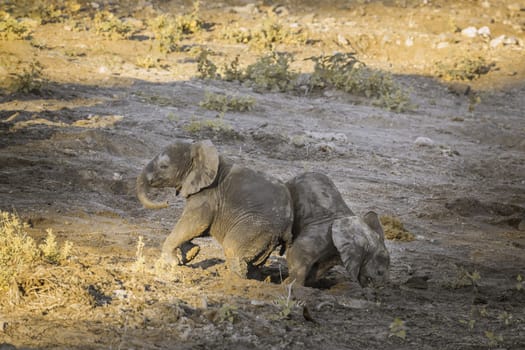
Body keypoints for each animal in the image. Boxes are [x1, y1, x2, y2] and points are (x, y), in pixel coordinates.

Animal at [137, 139, 292, 278]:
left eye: (163, 166)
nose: (167, 202)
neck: (198, 149)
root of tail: (287, 226)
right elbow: (194, 227)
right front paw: (192, 253)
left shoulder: (208, 194)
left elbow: (196, 223)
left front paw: (172, 263)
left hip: (257, 226)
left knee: (232, 247)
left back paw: (235, 281)